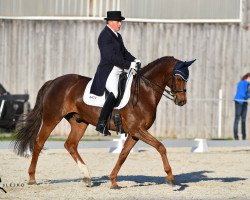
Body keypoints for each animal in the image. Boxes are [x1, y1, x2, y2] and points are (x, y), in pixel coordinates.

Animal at [13, 55, 194, 189]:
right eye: (178, 77)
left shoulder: (135, 133)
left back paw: (87, 177)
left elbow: (123, 154)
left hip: (79, 122)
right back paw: (32, 178)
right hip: (52, 118)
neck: (143, 92)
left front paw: (113, 181)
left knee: (70, 145)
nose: (182, 101)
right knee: (39, 142)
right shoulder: (138, 130)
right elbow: (161, 147)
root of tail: (53, 82)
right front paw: (170, 178)